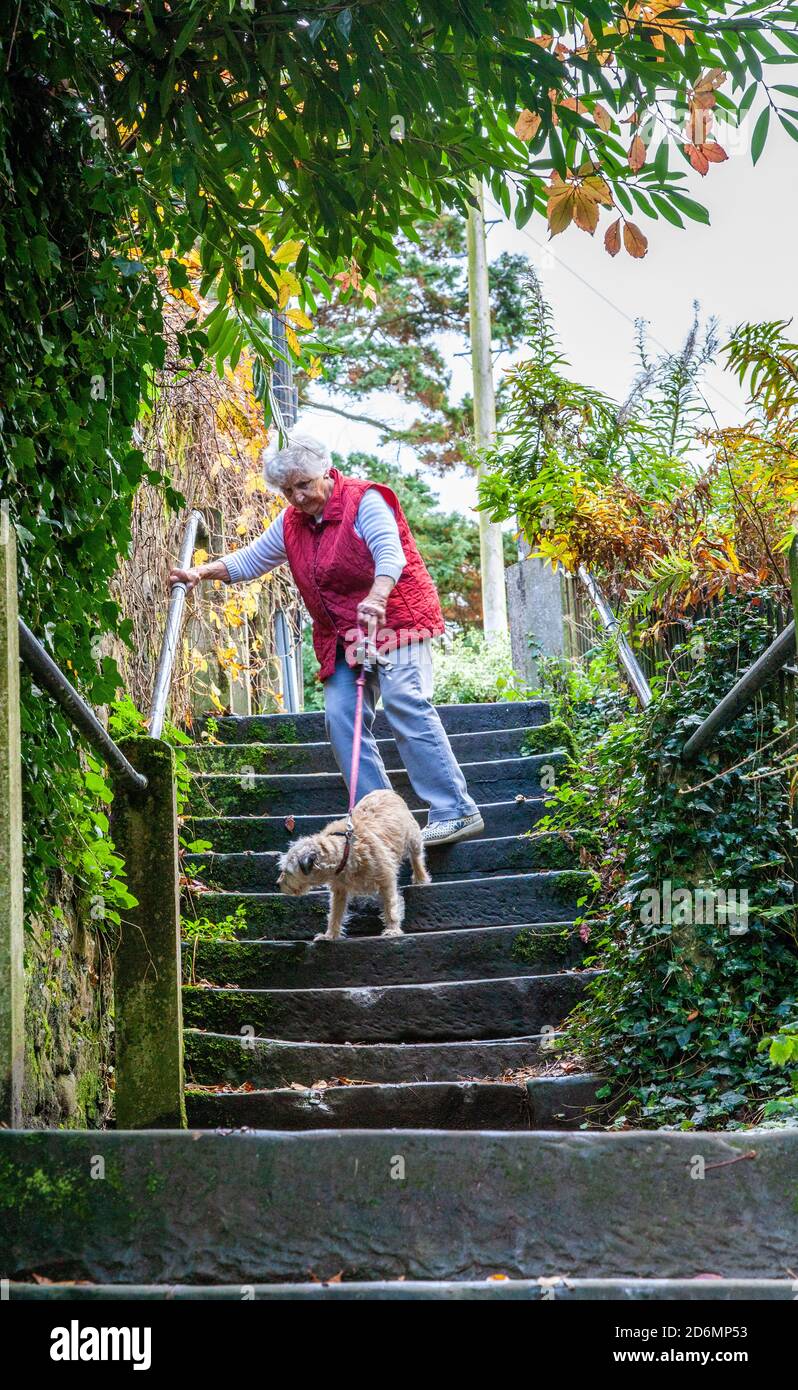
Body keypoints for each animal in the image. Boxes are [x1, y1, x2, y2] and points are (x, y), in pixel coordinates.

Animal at [278, 789, 433, 939]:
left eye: (288, 871)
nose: (277, 884)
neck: (345, 851)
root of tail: (386, 790)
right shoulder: (339, 890)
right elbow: (335, 913)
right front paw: (330, 935)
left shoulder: (386, 881)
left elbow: (390, 907)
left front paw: (392, 929)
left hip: (413, 838)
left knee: (416, 857)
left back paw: (421, 878)